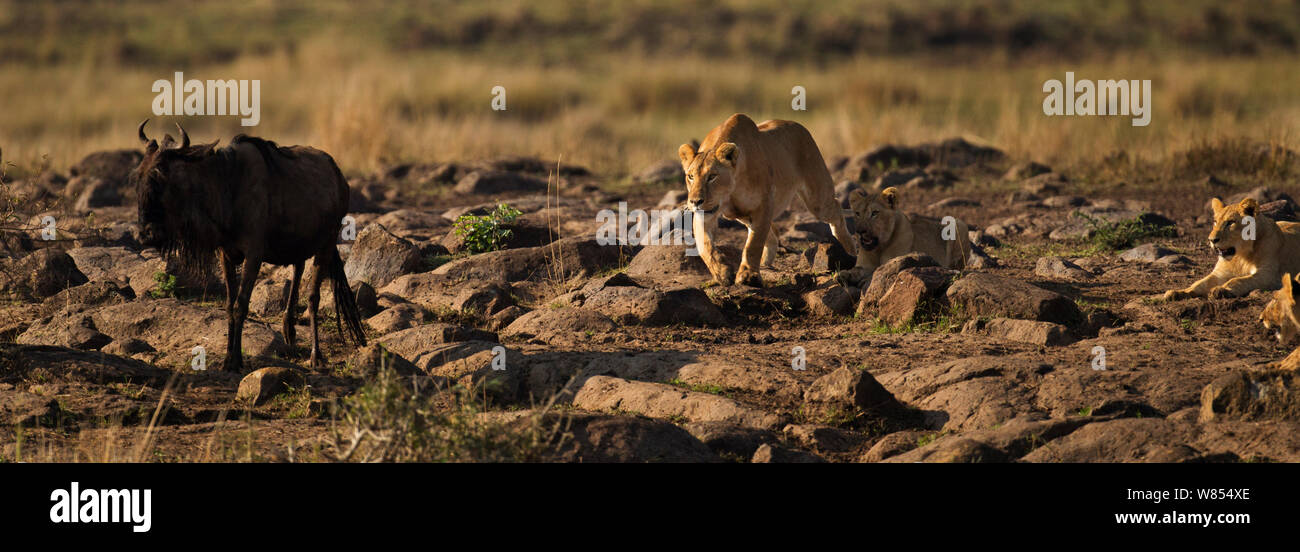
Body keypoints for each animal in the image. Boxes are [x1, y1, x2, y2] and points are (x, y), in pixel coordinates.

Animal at [681, 111, 852, 284]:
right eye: (690, 176)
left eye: (712, 176)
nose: (695, 201)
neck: (730, 193)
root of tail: (799, 126)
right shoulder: (706, 214)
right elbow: (705, 245)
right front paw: (722, 273)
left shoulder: (763, 204)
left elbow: (753, 244)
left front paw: (748, 275)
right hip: (744, 215)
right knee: (772, 233)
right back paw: (764, 262)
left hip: (817, 199)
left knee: (837, 208)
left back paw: (851, 250)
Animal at [837, 185, 972, 288]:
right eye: (857, 214)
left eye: (874, 213)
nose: (860, 231)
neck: (879, 248)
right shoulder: (865, 265)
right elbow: (857, 270)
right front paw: (843, 275)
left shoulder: (892, 263)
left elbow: (877, 273)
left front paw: (865, 281)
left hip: (958, 223)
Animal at [1164, 197, 1300, 301]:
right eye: (1215, 222)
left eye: (1230, 222)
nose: (1211, 240)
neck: (1240, 256)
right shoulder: (1219, 274)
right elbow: (1199, 284)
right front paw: (1177, 292)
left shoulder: (1269, 275)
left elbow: (1238, 280)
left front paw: (1221, 289)